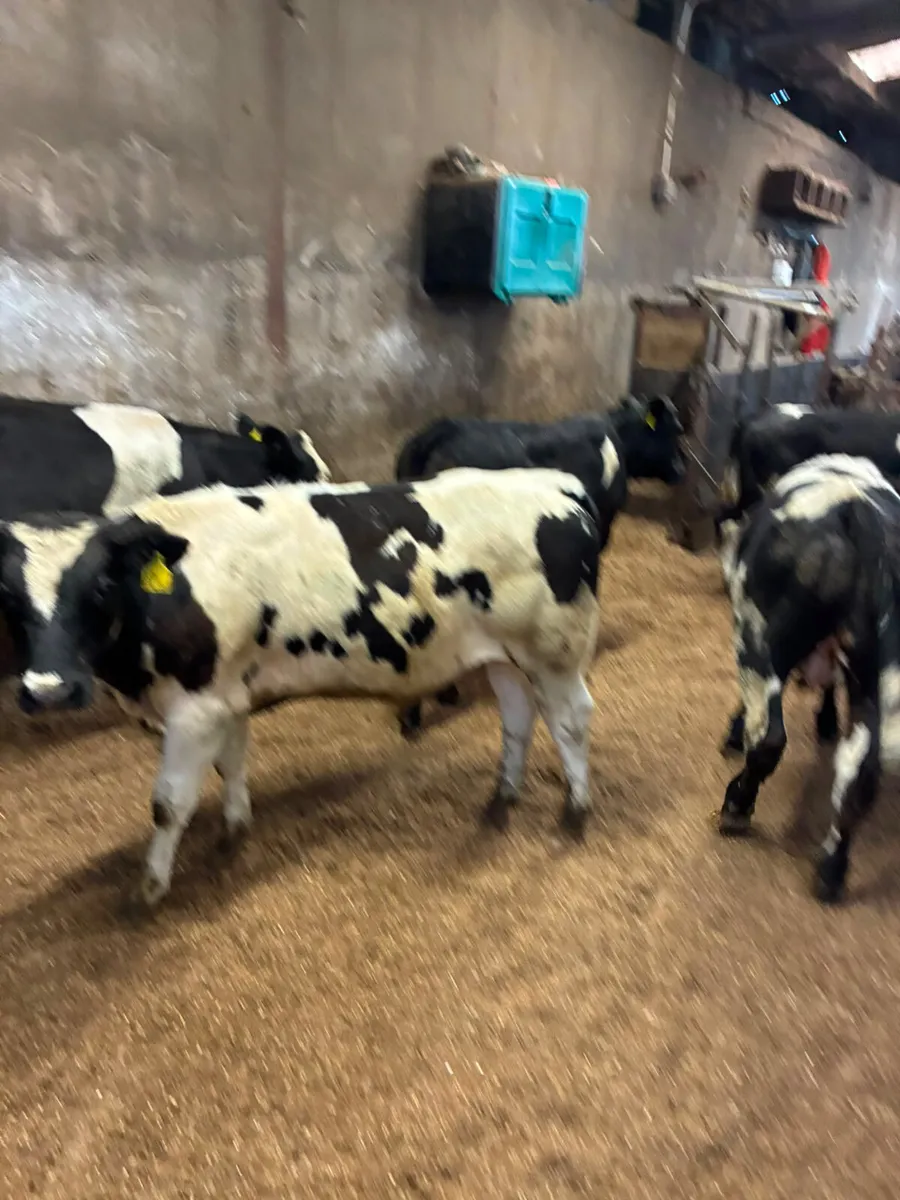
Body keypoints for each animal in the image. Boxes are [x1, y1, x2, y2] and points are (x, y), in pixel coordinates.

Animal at [0, 467, 603, 906]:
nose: (49, 690)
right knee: (518, 715)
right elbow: (232, 765)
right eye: (7, 591)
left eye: (100, 584)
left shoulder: (196, 706)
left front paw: (150, 888)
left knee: (570, 719)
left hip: (554, 652)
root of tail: (553, 484)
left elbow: (169, 802)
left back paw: (575, 810)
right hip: (505, 654)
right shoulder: (227, 695)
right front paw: (234, 831)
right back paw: (502, 799)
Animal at [717, 453, 900, 903]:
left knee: (768, 737)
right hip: (871, 675)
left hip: (760, 638)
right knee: (861, 773)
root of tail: (858, 513)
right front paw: (827, 720)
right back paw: (831, 870)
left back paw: (736, 807)